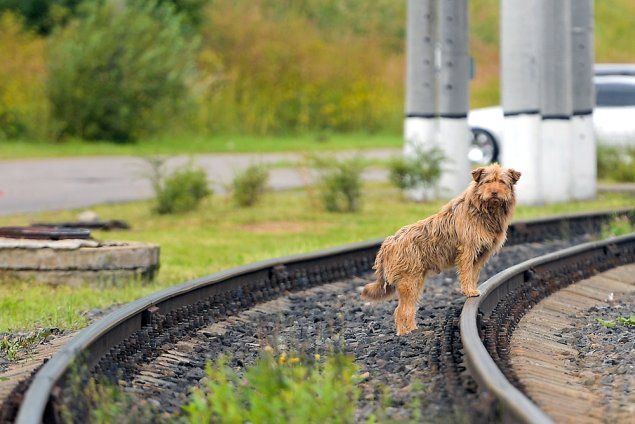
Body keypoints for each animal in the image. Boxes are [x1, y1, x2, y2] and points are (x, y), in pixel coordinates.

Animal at [362, 164, 520, 336]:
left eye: (502, 182)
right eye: (487, 182)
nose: (494, 192)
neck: (484, 210)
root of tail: (389, 242)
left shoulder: (481, 255)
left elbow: (473, 274)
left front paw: (473, 289)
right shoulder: (467, 250)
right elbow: (466, 273)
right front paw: (469, 291)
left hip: (416, 281)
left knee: (407, 308)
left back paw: (412, 329)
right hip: (409, 282)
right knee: (401, 310)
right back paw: (405, 333)